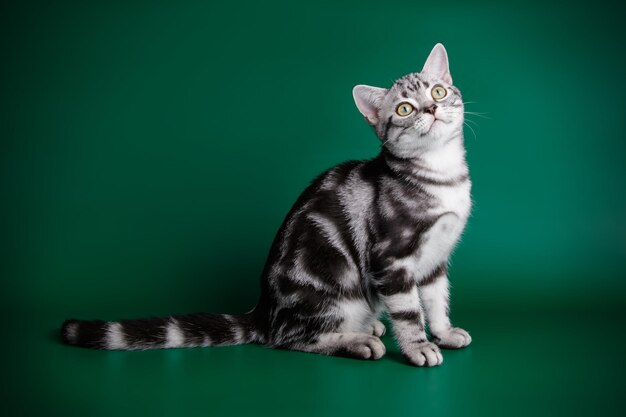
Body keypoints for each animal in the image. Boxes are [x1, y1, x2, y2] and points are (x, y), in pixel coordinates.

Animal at [62, 43, 468, 368]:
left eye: (438, 90)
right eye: (404, 109)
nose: (430, 108)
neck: (441, 175)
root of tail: (264, 311)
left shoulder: (436, 259)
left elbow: (436, 301)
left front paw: (444, 332)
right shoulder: (392, 258)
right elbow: (409, 311)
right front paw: (418, 347)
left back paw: (369, 326)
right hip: (332, 292)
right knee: (291, 338)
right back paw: (357, 341)